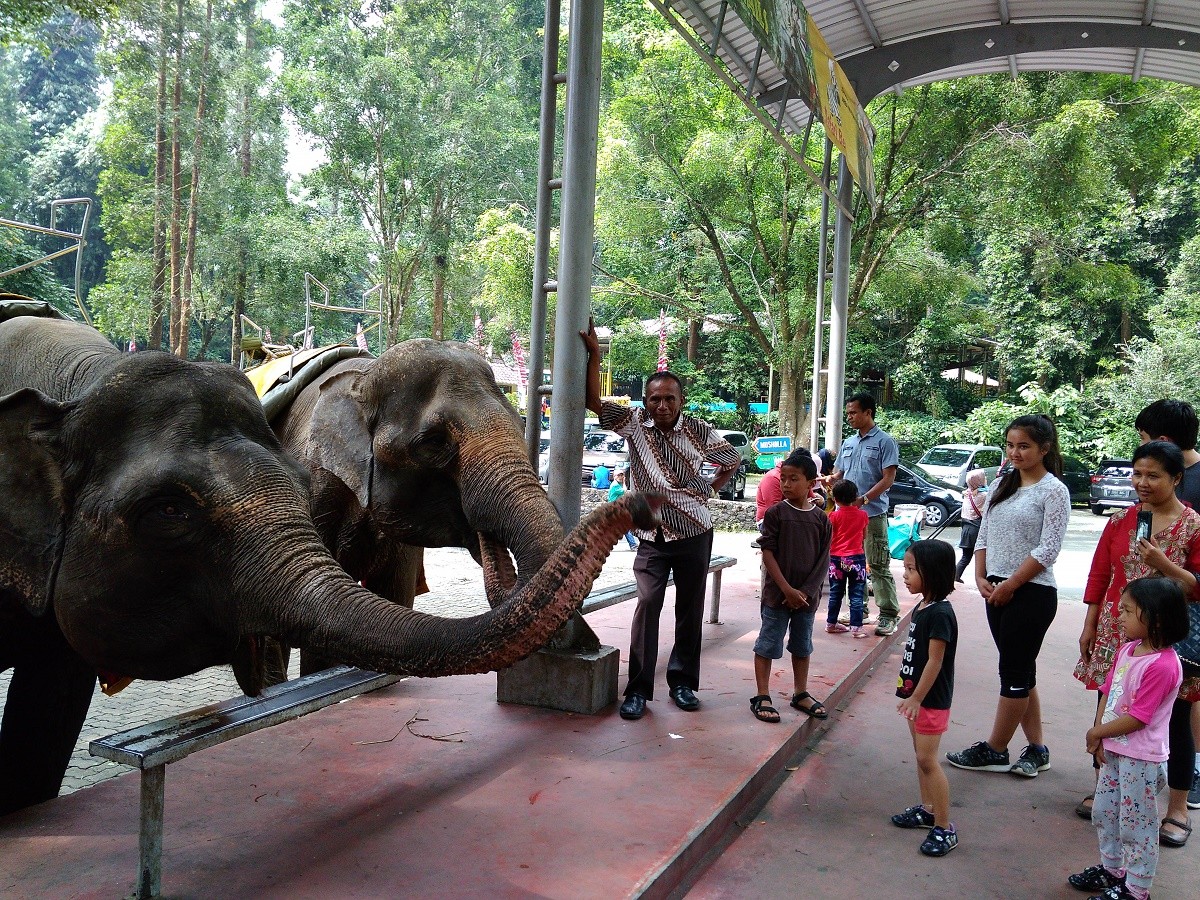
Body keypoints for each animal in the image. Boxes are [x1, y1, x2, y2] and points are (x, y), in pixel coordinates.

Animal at [0, 314, 657, 820]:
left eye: (525, 422)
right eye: (433, 444)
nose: (640, 503)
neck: (363, 379)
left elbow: (394, 594)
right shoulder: (315, 483)